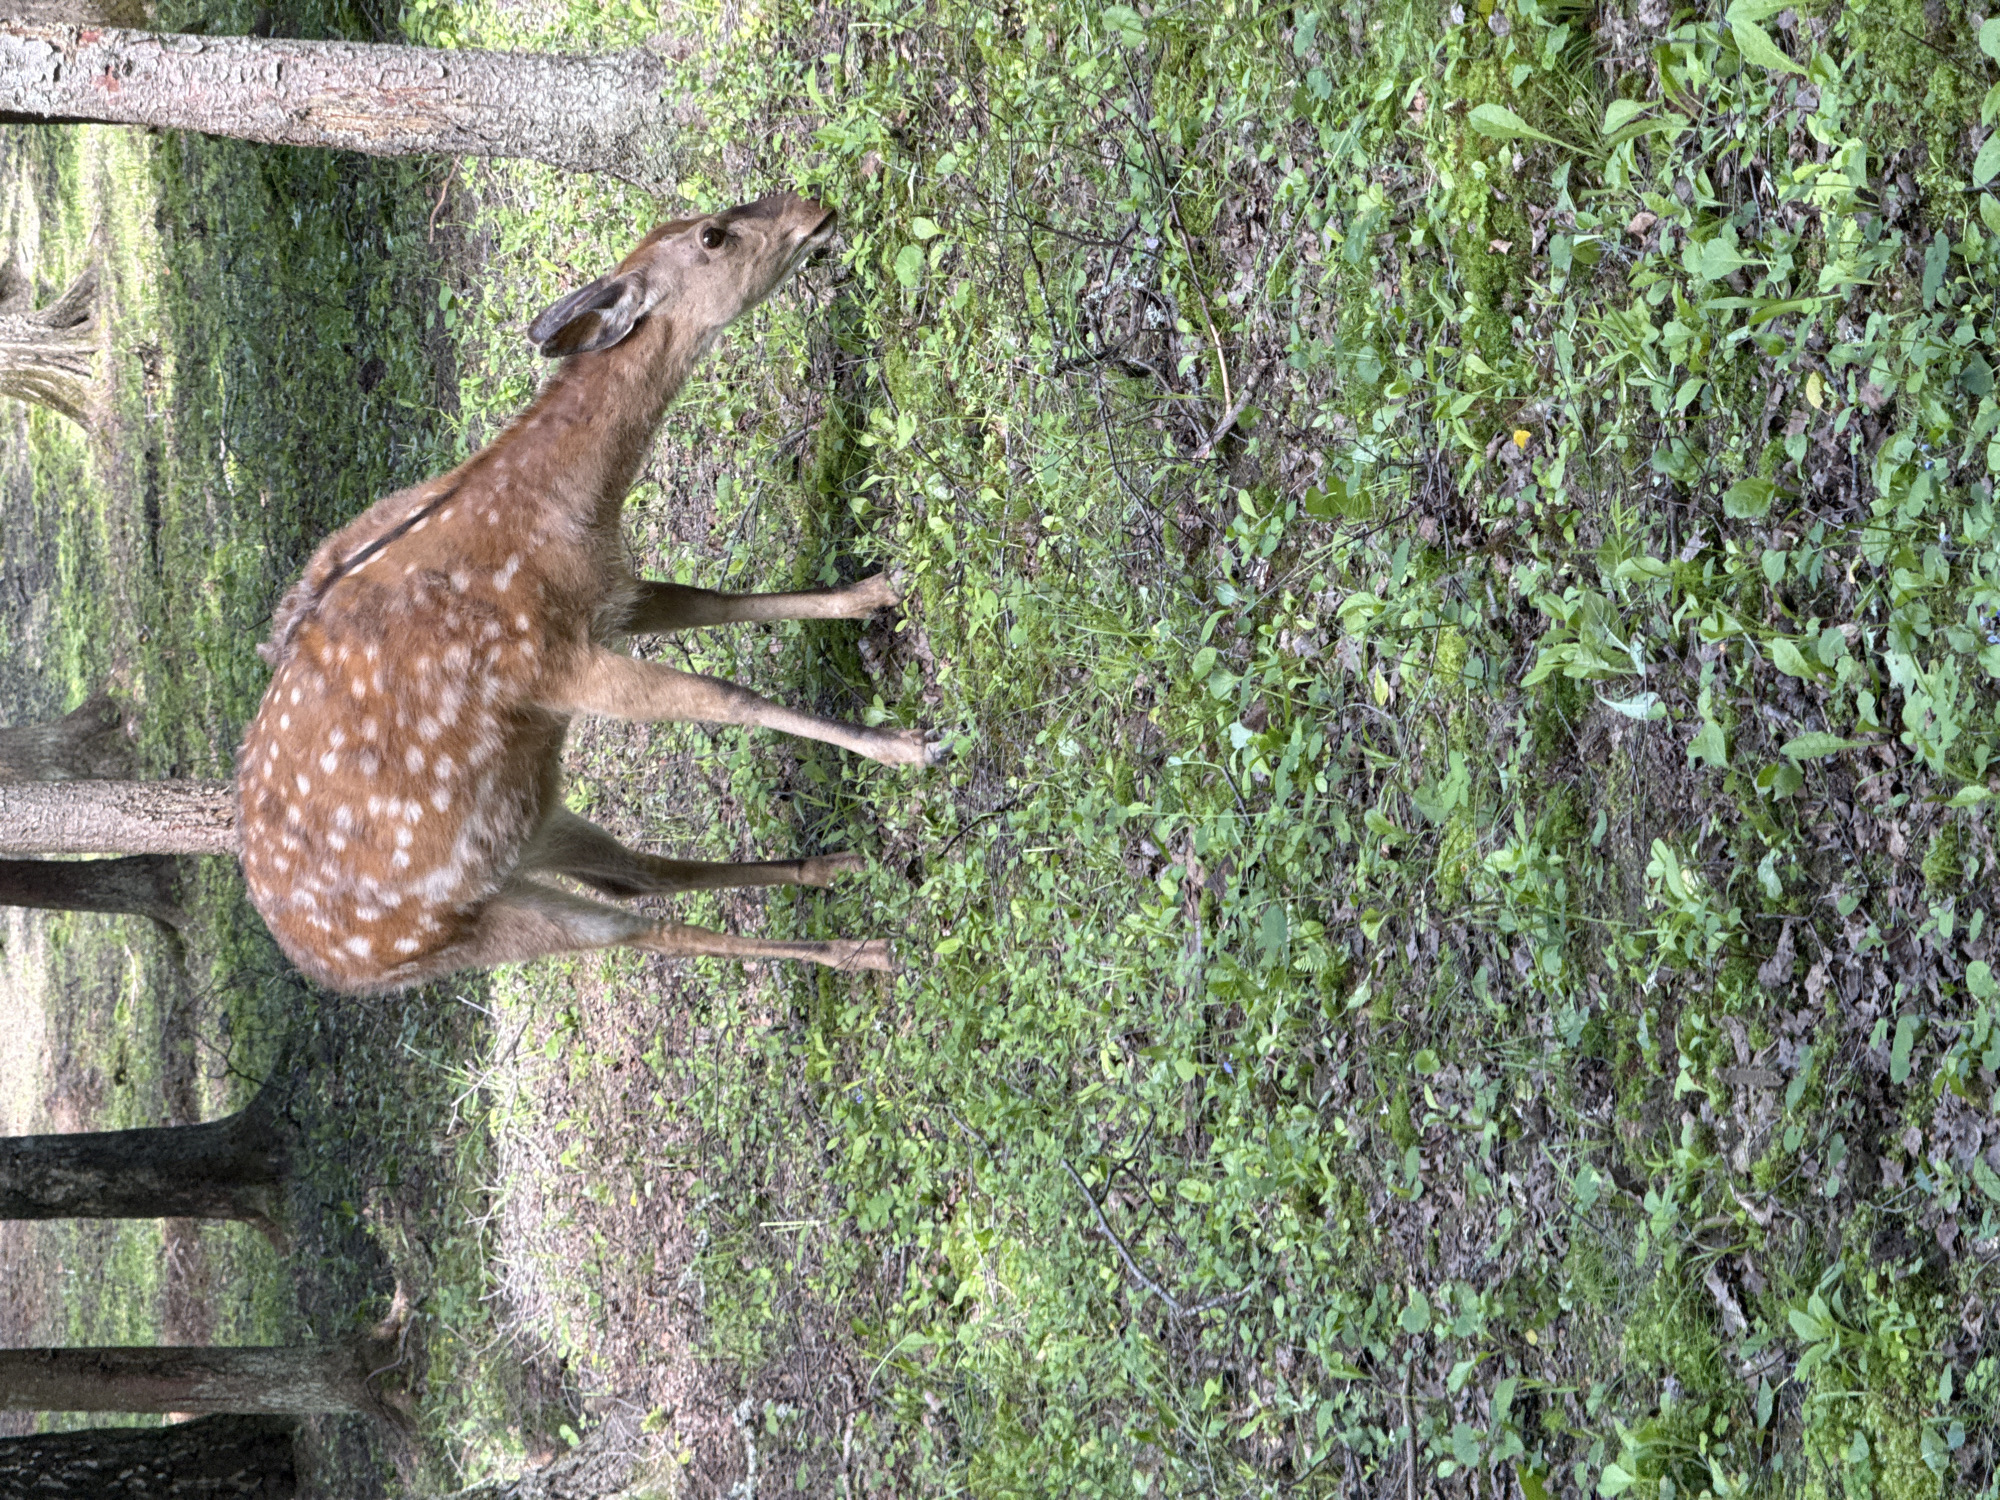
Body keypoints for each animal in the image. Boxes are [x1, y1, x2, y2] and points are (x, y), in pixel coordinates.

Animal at [236, 192, 934, 996]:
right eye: (713, 236)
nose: (816, 210)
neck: (563, 513)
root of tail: (328, 969)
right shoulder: (550, 662)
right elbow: (730, 697)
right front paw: (903, 747)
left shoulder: (610, 595)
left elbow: (724, 603)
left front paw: (875, 590)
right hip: (459, 933)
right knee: (647, 930)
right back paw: (861, 950)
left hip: (532, 825)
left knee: (635, 875)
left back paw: (833, 867)